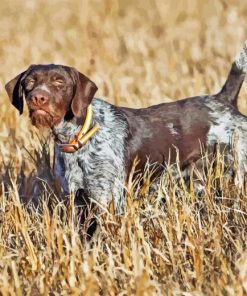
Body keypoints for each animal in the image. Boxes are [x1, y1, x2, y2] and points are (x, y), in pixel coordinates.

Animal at [4, 42, 247, 213]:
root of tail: (223, 100)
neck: (78, 137)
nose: (38, 98)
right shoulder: (75, 199)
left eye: (59, 82)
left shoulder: (108, 199)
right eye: (29, 83)